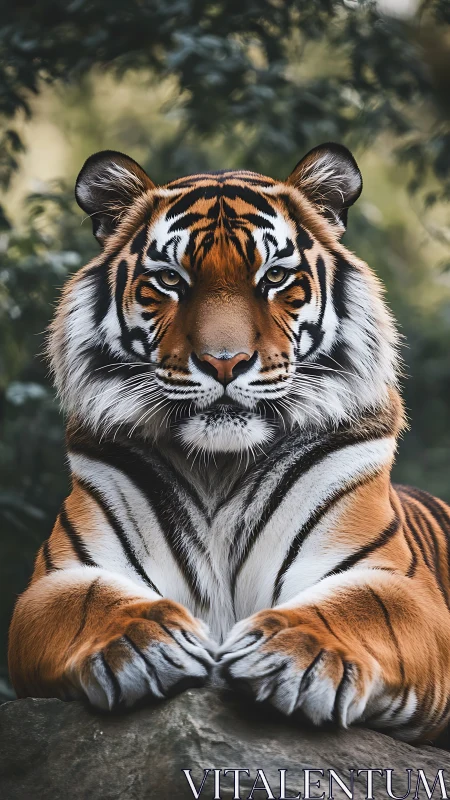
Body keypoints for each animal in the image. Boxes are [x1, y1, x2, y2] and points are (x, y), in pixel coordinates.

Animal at [8, 142, 450, 743]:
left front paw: (291, 655)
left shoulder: (398, 584)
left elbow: (357, 609)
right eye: (171, 280)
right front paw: (148, 643)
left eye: (276, 276)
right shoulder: (53, 582)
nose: (224, 362)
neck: (219, 467)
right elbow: (91, 602)